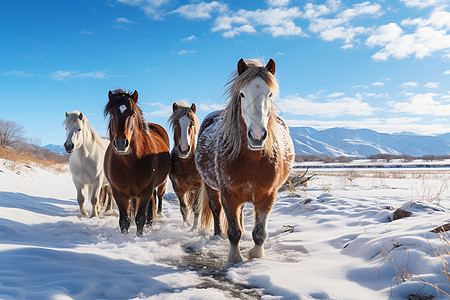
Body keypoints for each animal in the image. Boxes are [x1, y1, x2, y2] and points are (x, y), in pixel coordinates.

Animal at [103, 89, 171, 237]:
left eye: (133, 114)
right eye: (111, 114)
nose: (121, 144)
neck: (130, 163)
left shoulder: (145, 191)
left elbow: (140, 218)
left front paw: (139, 236)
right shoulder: (119, 192)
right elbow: (124, 220)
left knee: (153, 201)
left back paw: (151, 224)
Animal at [196, 58, 296, 262]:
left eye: (270, 94)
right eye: (242, 94)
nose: (257, 136)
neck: (252, 160)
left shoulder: (268, 195)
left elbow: (259, 233)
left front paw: (256, 257)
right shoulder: (228, 194)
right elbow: (234, 232)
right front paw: (235, 259)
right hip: (210, 186)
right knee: (216, 210)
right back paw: (217, 236)